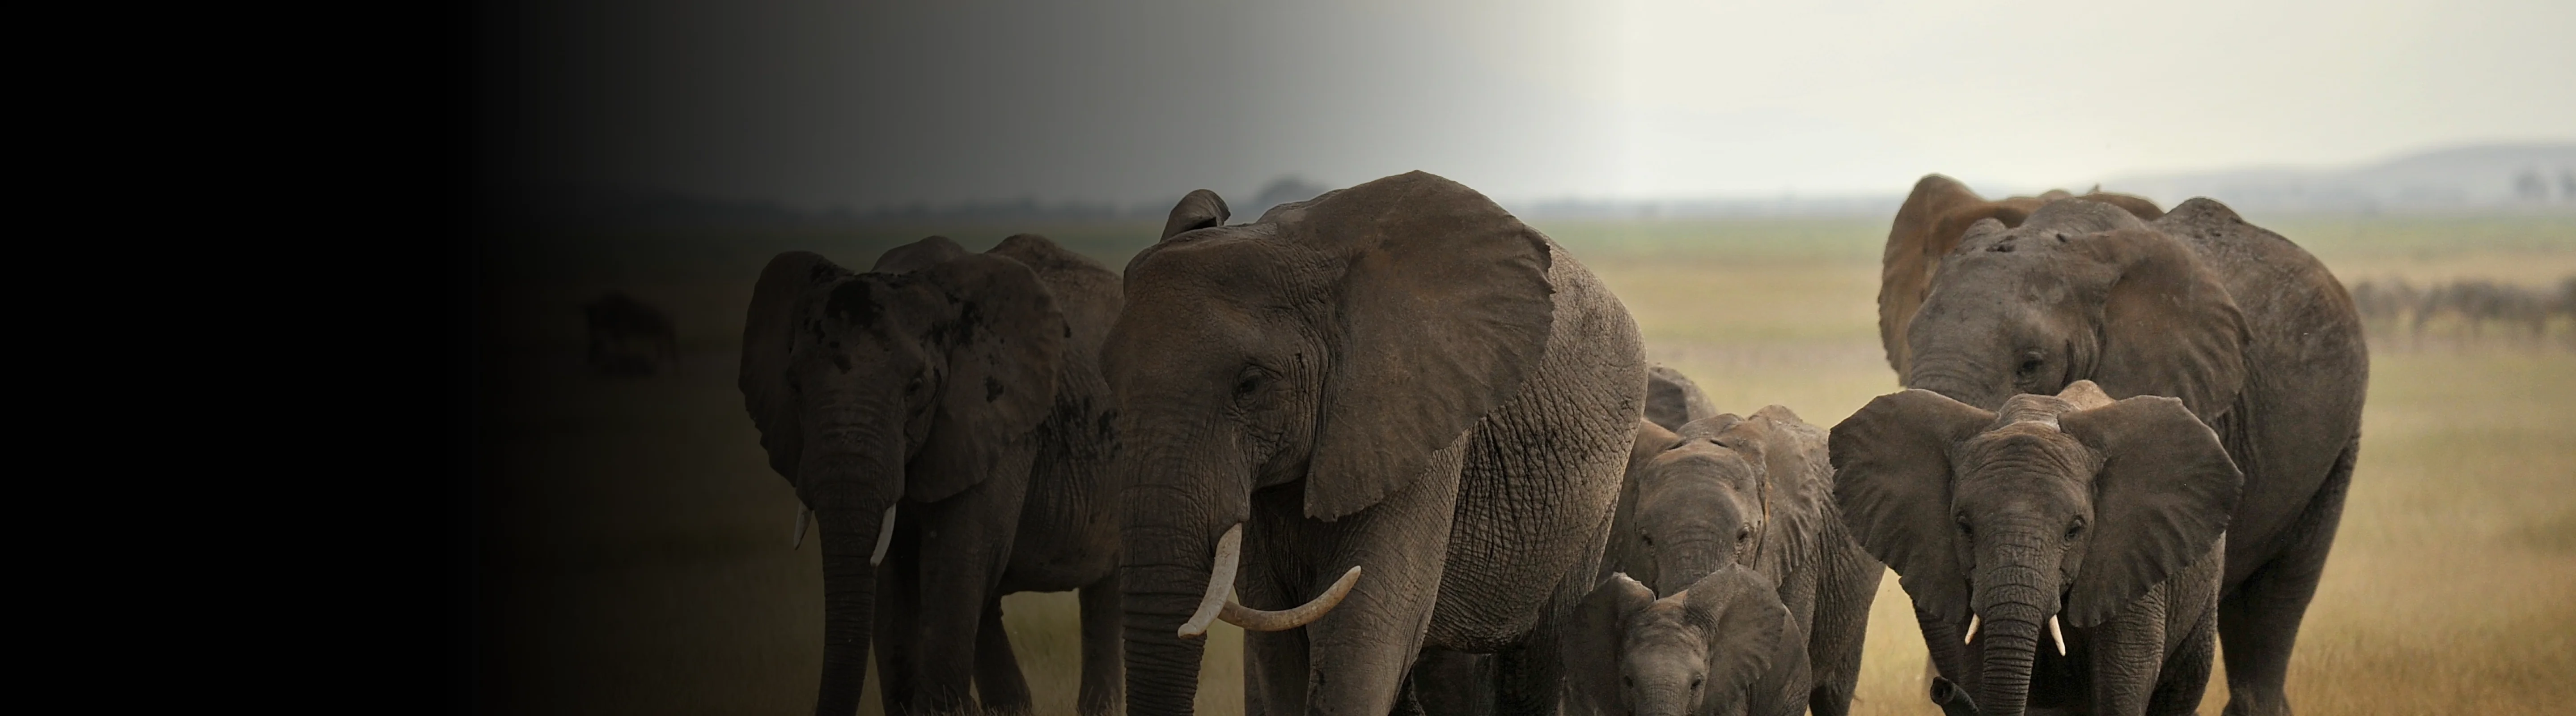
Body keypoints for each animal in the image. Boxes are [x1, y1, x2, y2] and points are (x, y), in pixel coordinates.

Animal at [584, 291, 679, 376]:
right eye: (589, 322)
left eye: (594, 320)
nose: (592, 333)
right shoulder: (616, 336)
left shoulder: (620, 335)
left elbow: (622, 351)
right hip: (659, 339)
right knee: (662, 352)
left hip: (663, 338)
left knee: (668, 353)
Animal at [1103, 170, 1647, 716]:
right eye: (1111, 384)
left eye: (1250, 385)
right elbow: (1278, 640)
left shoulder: (1418, 421)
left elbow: (1363, 637)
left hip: (1593, 507)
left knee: (1537, 660)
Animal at [1830, 381, 2241, 716]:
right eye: (1964, 527)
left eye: (2075, 531)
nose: (1941, 688)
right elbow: (1978, 670)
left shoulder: (2130, 563)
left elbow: (2120, 689)